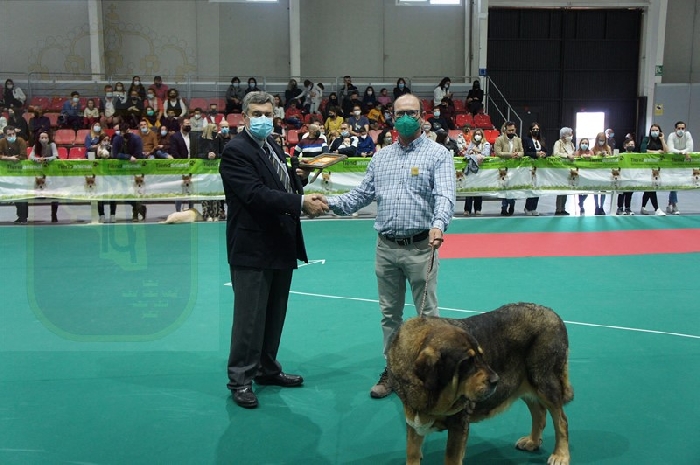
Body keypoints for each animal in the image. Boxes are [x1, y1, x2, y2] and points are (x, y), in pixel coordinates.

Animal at [387, 303, 573, 465]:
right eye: (466, 362)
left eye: (481, 357)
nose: (496, 380)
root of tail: (554, 315)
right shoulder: (413, 419)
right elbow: (411, 451)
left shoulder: (458, 423)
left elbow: (451, 458)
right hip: (524, 383)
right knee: (539, 413)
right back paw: (533, 442)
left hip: (544, 383)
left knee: (561, 420)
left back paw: (560, 455)